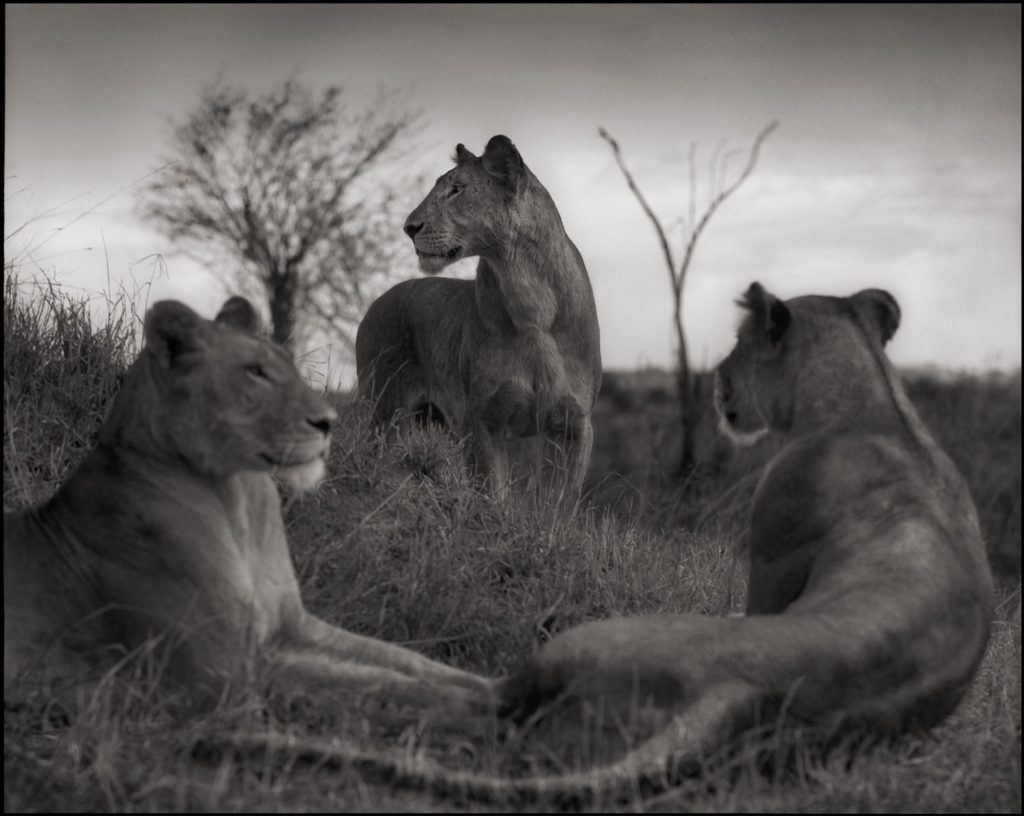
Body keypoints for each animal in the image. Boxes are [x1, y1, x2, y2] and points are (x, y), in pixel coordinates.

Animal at [3, 296, 499, 716]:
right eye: (254, 372)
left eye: (287, 365)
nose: (328, 422)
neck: (238, 500)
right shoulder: (223, 676)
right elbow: (371, 685)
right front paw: (495, 706)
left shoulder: (294, 626)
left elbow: (403, 661)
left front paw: (490, 684)